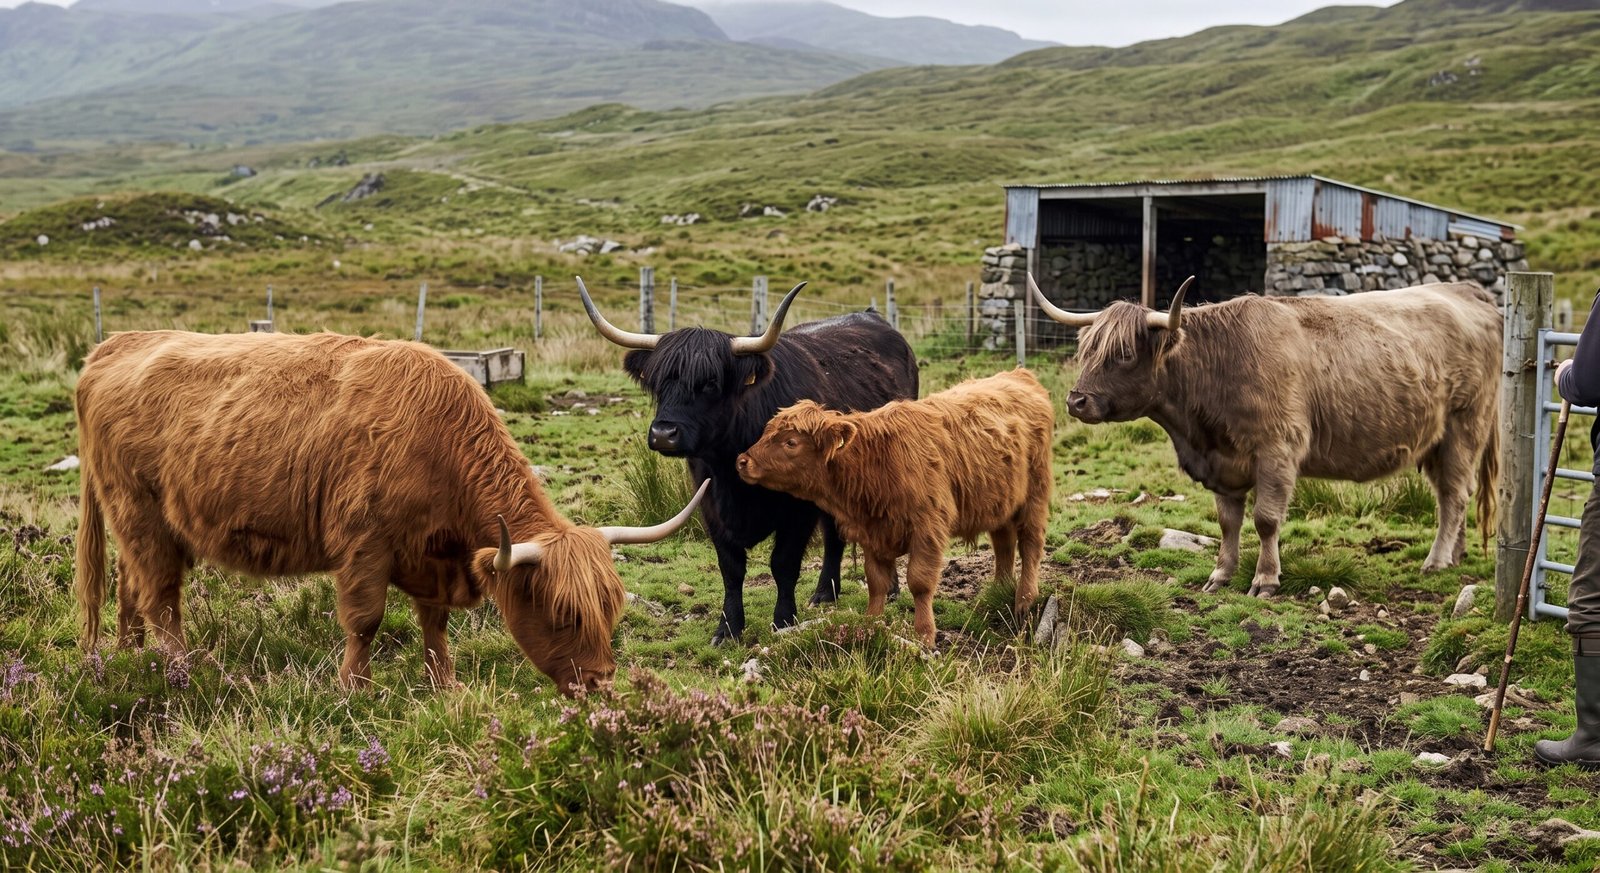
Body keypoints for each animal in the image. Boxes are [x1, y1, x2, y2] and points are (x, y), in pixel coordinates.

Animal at [73, 330, 706, 695]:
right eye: (562, 613)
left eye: (610, 610)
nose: (601, 683)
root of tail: (112, 344)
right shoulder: (363, 545)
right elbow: (365, 620)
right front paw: (355, 689)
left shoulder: (435, 555)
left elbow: (435, 624)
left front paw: (445, 686)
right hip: (139, 511)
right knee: (160, 596)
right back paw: (183, 669)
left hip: (139, 523)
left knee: (132, 585)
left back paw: (132, 658)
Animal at [578, 277, 919, 643]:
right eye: (657, 382)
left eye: (711, 383)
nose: (663, 433)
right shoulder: (709, 503)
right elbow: (731, 568)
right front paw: (727, 628)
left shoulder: (797, 510)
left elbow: (783, 564)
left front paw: (783, 620)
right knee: (833, 531)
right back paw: (825, 593)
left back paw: (889, 589)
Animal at [735, 368, 1054, 648]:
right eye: (766, 432)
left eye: (790, 442)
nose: (742, 461)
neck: (875, 462)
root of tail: (1018, 375)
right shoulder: (872, 532)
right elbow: (876, 582)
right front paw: (870, 626)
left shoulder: (927, 528)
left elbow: (919, 582)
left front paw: (924, 635)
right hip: (1001, 499)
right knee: (1003, 543)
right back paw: (999, 590)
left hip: (1035, 495)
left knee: (1030, 544)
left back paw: (1024, 600)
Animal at [1030, 274, 1500, 597]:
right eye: (1087, 349)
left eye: (1124, 354)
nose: (1076, 401)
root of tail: (1466, 291)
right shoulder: (1224, 463)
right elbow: (1228, 521)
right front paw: (1221, 574)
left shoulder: (1278, 451)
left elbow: (1266, 519)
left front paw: (1266, 579)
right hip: (1435, 440)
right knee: (1451, 495)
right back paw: (1455, 555)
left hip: (1464, 428)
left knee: (1454, 495)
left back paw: (1436, 561)